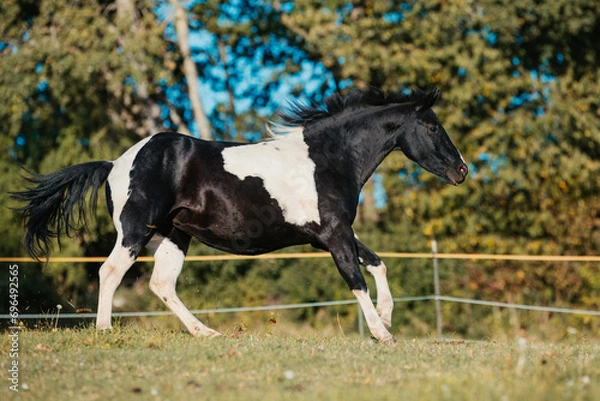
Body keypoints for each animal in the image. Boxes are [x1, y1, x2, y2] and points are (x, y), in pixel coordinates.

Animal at [11, 86, 466, 342]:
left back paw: (206, 333)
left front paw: (386, 320)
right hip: (135, 230)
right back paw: (105, 331)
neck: (327, 158)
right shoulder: (334, 235)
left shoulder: (332, 233)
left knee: (162, 284)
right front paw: (380, 333)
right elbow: (356, 279)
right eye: (432, 127)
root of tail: (115, 163)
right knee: (110, 272)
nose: (462, 170)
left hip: (174, 234)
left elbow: (378, 265)